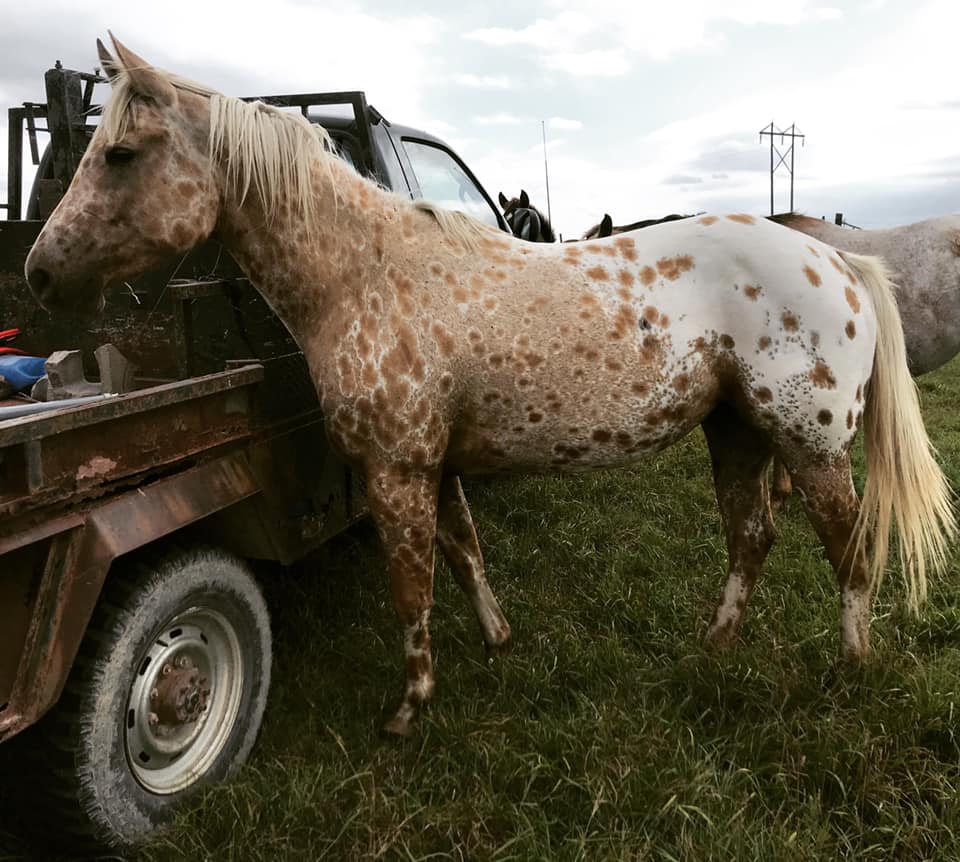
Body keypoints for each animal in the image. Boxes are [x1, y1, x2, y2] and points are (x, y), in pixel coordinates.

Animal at [26, 37, 956, 740]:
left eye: (119, 154)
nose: (39, 273)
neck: (362, 275)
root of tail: (836, 259)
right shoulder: (434, 466)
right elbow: (465, 551)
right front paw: (498, 641)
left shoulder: (396, 471)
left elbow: (412, 585)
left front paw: (408, 709)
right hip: (735, 432)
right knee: (752, 538)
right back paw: (715, 648)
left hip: (809, 444)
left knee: (849, 548)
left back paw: (848, 670)